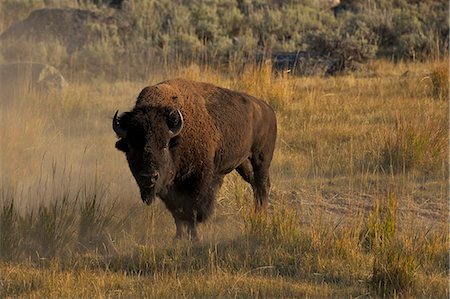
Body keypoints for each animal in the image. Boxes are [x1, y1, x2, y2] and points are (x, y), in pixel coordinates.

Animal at [111, 78, 278, 240]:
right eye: (132, 147)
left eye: (164, 145)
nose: (149, 177)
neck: (177, 138)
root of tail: (268, 109)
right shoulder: (170, 188)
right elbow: (177, 213)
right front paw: (178, 237)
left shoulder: (197, 181)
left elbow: (192, 210)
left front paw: (195, 237)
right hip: (243, 164)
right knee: (255, 185)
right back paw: (257, 214)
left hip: (261, 159)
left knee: (262, 185)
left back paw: (261, 217)